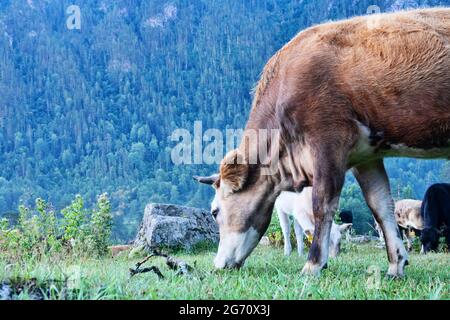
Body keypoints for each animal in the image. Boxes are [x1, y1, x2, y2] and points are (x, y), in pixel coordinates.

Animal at [194, 8, 450, 276]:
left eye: (214, 211)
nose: (218, 264)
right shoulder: (366, 156)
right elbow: (380, 206)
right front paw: (396, 264)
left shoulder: (328, 142)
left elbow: (323, 203)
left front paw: (313, 264)